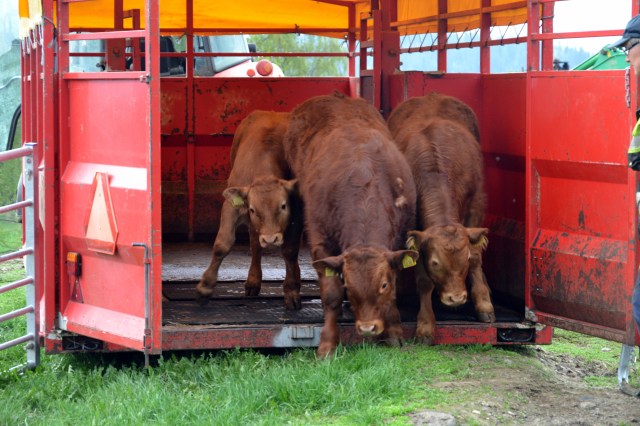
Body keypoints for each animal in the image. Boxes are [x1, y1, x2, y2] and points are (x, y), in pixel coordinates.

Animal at [195, 110, 304, 311]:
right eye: (252, 209)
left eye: (283, 206)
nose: (270, 239)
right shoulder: (232, 206)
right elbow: (222, 244)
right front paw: (205, 287)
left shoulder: (298, 211)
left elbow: (290, 250)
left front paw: (292, 291)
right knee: (254, 243)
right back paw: (253, 280)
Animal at [283, 93, 418, 358]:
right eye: (349, 284)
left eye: (383, 284)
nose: (367, 328)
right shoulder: (321, 243)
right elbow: (331, 295)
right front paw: (327, 344)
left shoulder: (399, 241)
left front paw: (394, 331)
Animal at [387, 92, 496, 345]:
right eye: (435, 263)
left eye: (464, 259)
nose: (455, 298)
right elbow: (422, 278)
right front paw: (426, 326)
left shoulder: (477, 204)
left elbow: (477, 257)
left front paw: (483, 303)